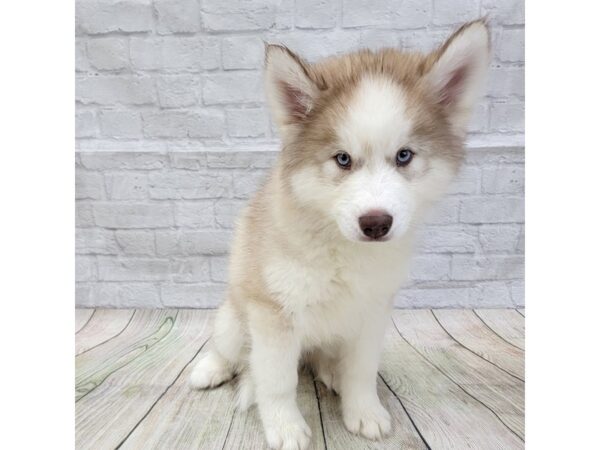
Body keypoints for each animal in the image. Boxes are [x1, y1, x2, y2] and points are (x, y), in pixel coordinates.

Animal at [190, 19, 490, 448]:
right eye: (343, 159)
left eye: (404, 156)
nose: (376, 223)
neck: (342, 251)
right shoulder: (273, 314)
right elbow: (276, 380)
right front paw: (284, 426)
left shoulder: (372, 312)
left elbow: (361, 371)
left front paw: (363, 411)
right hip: (235, 317)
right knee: (230, 349)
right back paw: (211, 369)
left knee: (325, 360)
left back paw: (331, 373)